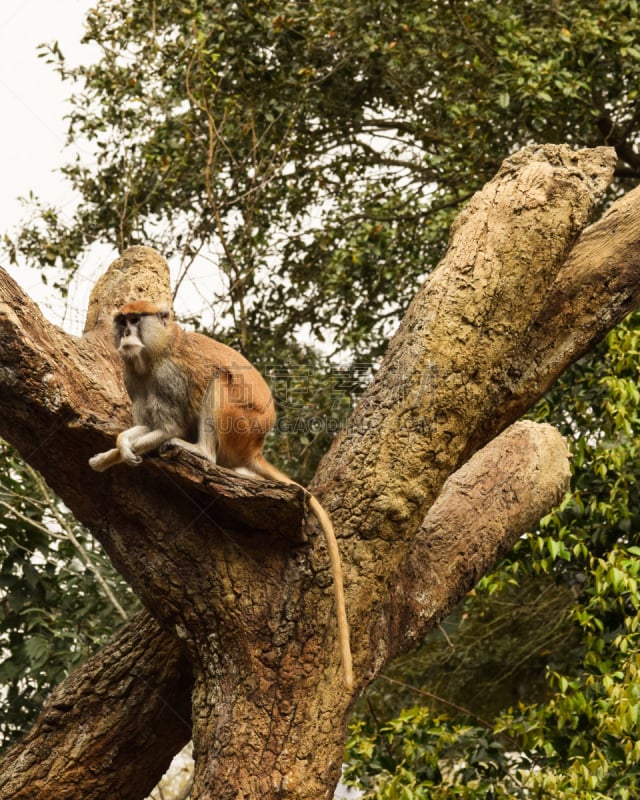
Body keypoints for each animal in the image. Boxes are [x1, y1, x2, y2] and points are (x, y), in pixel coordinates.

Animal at [91, 298, 356, 688]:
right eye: (121, 320)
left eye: (136, 320)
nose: (125, 333)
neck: (160, 347)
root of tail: (255, 449)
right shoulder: (134, 379)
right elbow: (145, 426)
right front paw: (117, 448)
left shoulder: (169, 377)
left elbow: (169, 426)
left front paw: (138, 447)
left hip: (240, 424)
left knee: (220, 380)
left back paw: (201, 452)